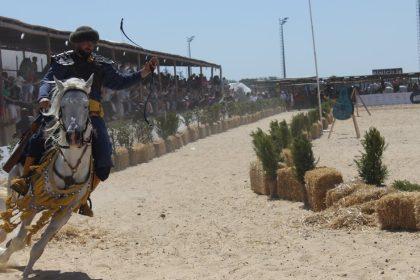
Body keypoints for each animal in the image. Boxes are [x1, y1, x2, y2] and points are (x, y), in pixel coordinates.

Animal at [0, 74, 93, 278]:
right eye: (63, 105)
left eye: (85, 105)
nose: (74, 135)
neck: (70, 168)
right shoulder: (33, 203)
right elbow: (19, 240)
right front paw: (5, 259)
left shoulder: (64, 212)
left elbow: (37, 247)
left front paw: (25, 271)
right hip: (15, 186)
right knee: (7, 219)